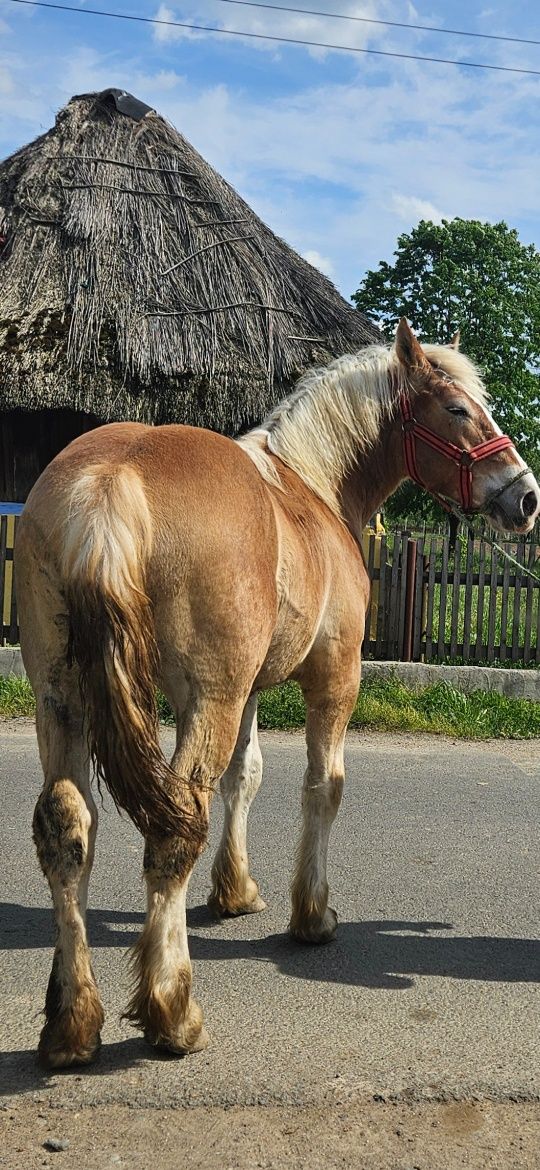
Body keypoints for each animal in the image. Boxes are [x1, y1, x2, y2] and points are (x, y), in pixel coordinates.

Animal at [14, 320, 537, 1071]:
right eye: (458, 409)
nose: (526, 497)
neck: (312, 489)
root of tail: (110, 480)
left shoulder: (252, 690)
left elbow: (247, 776)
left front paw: (234, 890)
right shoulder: (333, 679)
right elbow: (323, 787)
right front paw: (311, 913)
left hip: (65, 700)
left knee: (68, 829)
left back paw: (72, 1023)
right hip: (208, 699)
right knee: (174, 829)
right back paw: (173, 1012)